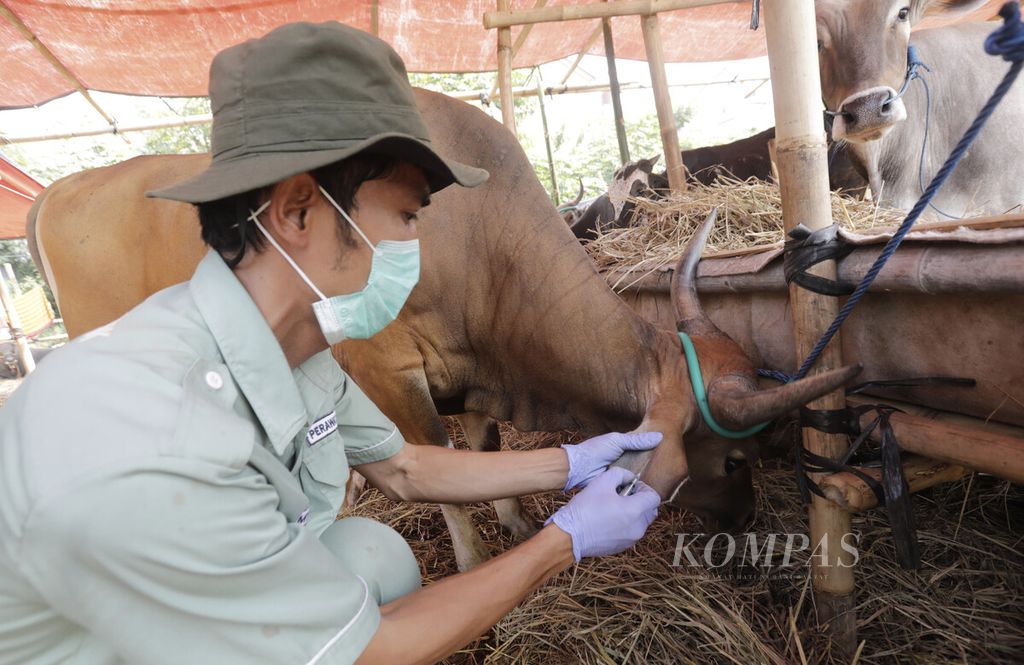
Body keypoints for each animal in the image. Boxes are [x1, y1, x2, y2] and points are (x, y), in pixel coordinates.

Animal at [28, 89, 856, 569]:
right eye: (736, 458)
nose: (747, 521)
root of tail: (61, 191)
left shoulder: (475, 378)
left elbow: (485, 459)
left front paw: (517, 526)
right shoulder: (391, 376)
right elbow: (445, 480)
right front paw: (473, 562)